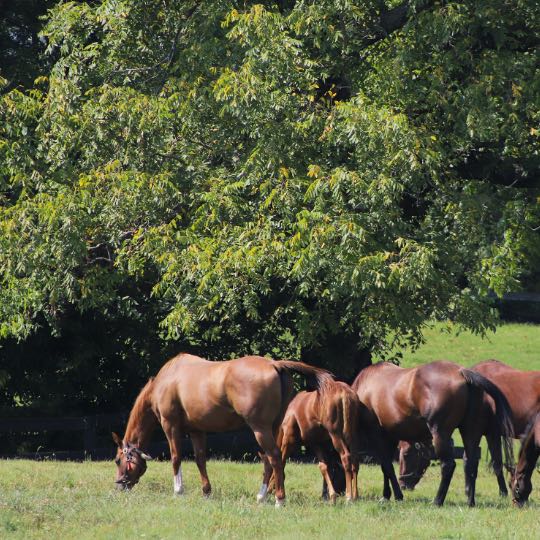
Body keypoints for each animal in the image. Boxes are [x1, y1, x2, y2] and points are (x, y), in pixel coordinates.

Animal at [112, 350, 332, 506]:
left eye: (118, 460)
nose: (120, 485)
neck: (167, 379)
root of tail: (274, 364)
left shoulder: (170, 425)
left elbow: (176, 458)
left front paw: (178, 490)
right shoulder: (197, 430)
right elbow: (200, 459)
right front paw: (206, 492)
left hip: (260, 429)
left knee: (275, 457)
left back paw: (279, 499)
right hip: (273, 427)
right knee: (269, 460)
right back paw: (261, 496)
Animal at [350, 358, 516, 506]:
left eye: (406, 455)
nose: (404, 483)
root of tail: (461, 372)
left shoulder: (377, 436)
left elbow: (386, 466)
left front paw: (396, 495)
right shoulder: (390, 438)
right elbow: (386, 468)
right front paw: (387, 495)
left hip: (440, 434)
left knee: (448, 465)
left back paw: (438, 501)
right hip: (470, 433)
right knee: (470, 463)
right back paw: (470, 502)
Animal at [398, 360, 536, 496]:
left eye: (406, 454)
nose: (403, 485)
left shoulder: (490, 434)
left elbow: (492, 463)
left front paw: (503, 492)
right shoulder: (488, 434)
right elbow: (481, 462)